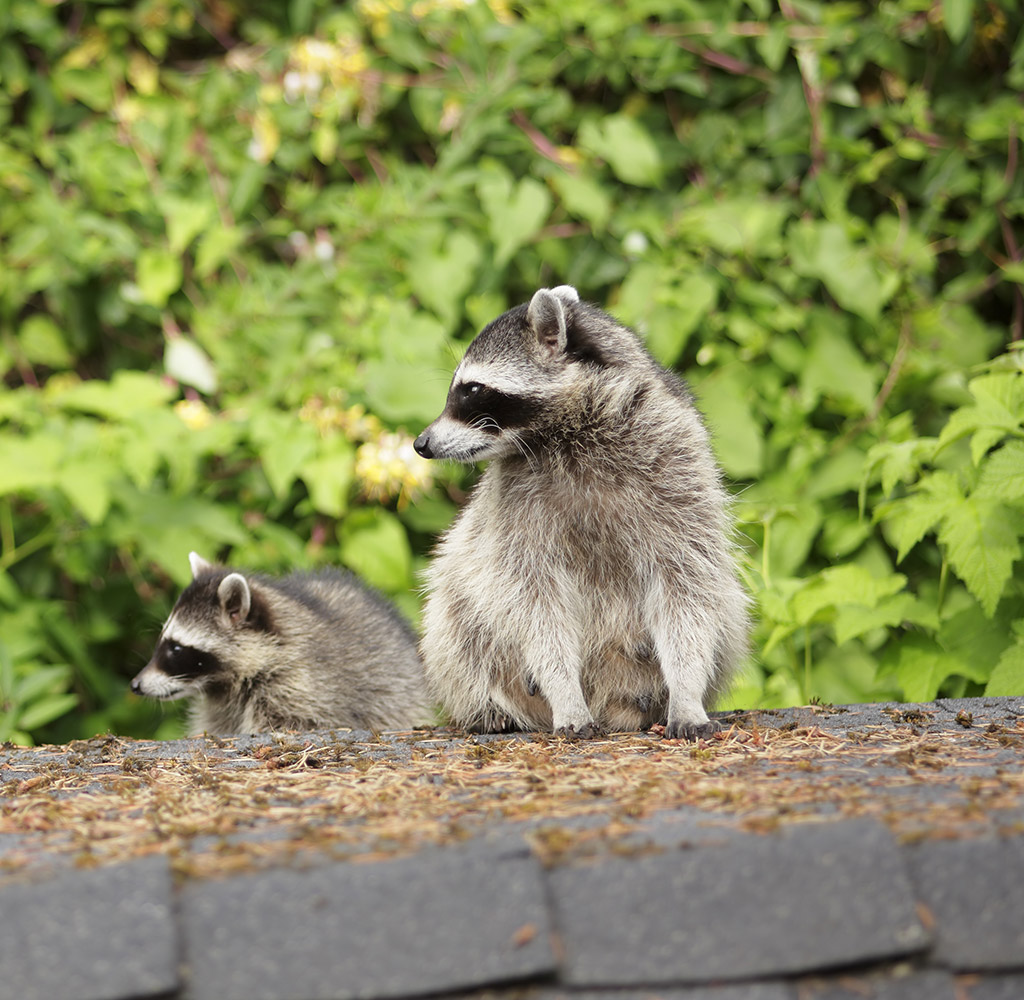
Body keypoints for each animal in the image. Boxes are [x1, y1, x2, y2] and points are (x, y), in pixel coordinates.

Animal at [414, 285, 749, 741]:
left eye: (472, 389)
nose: (421, 444)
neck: (572, 430)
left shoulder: (678, 466)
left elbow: (688, 586)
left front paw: (687, 688)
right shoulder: (514, 504)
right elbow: (533, 600)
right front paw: (564, 690)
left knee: (724, 609)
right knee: (454, 616)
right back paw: (486, 704)